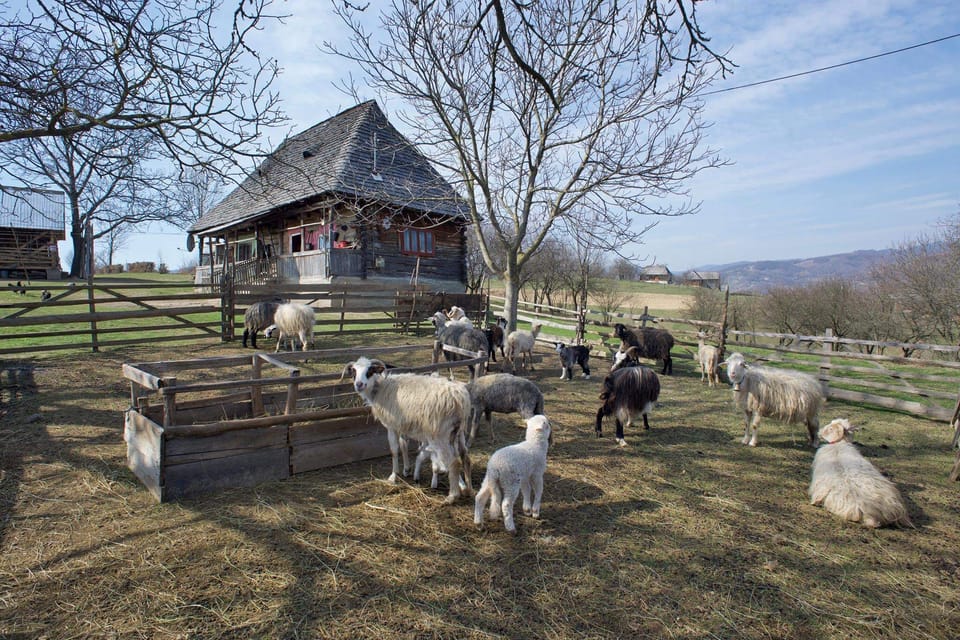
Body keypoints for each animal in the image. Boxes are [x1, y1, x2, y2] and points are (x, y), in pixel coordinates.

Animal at [343, 356, 473, 504]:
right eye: (354, 371)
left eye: (370, 370)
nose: (359, 384)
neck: (380, 388)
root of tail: (459, 399)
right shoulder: (402, 424)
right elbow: (403, 444)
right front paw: (406, 469)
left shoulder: (391, 426)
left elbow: (394, 450)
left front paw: (393, 476)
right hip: (459, 431)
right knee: (465, 457)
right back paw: (468, 490)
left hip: (440, 434)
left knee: (454, 462)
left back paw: (452, 496)